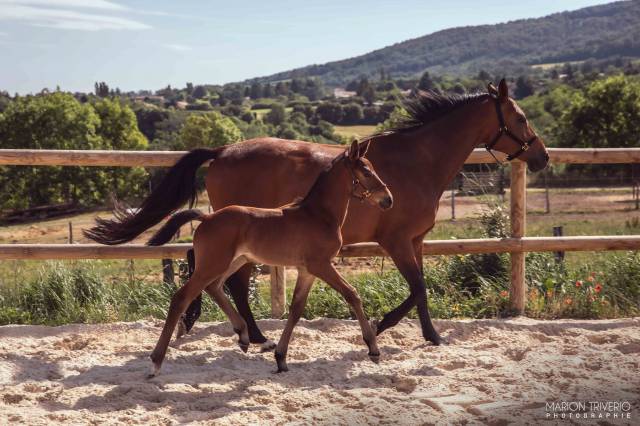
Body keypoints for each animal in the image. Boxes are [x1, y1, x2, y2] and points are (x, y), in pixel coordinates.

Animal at [85, 79, 549, 349]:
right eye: (521, 116)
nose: (542, 157)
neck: (417, 160)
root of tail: (222, 150)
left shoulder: (414, 241)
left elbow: (420, 288)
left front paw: (400, 329)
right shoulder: (396, 241)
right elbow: (418, 288)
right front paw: (405, 332)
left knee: (208, 269)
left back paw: (231, 329)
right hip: (239, 232)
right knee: (227, 279)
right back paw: (251, 335)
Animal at [144, 140, 393, 374]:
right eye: (366, 172)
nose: (388, 199)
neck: (318, 215)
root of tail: (206, 218)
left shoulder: (307, 270)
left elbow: (296, 309)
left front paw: (281, 358)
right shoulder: (321, 265)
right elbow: (352, 295)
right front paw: (373, 348)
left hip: (235, 261)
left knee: (214, 287)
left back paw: (244, 336)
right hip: (214, 263)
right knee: (182, 297)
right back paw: (156, 361)